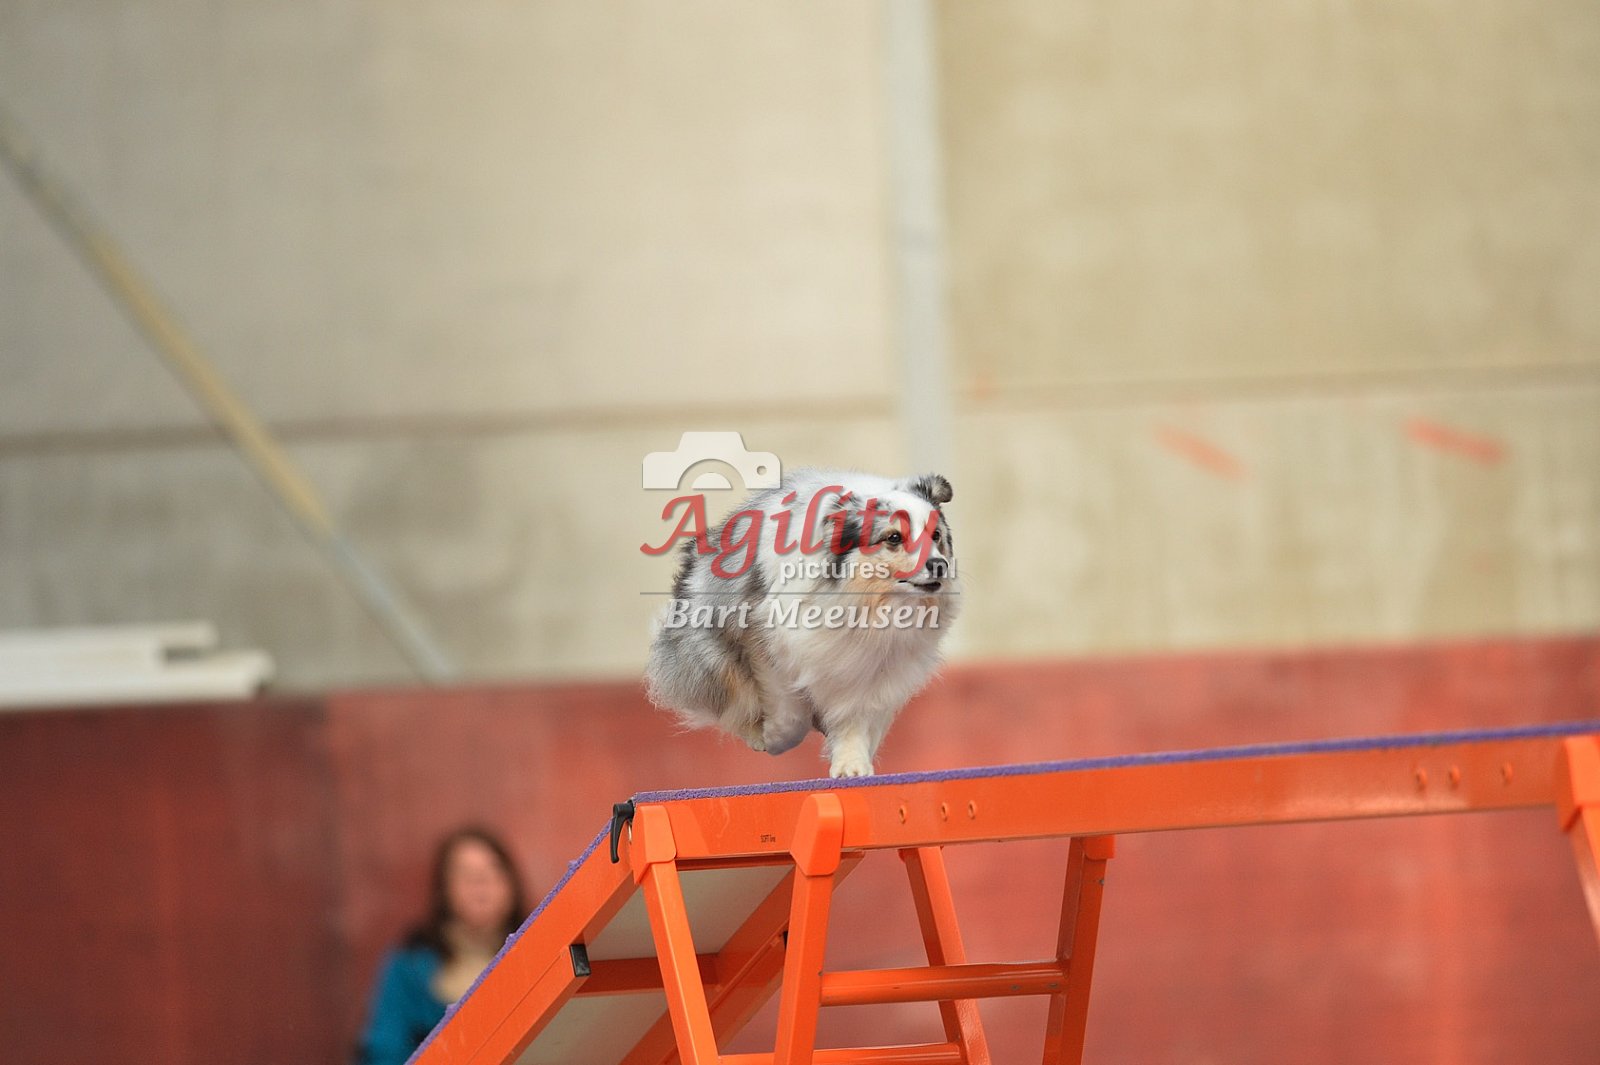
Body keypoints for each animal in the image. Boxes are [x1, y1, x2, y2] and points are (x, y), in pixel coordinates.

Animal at [645, 468, 960, 778]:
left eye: (936, 535)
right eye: (894, 537)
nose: (939, 565)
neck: (866, 604)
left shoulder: (868, 666)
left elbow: (854, 715)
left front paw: (852, 764)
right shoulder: (769, 643)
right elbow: (788, 711)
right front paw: (776, 739)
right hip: (713, 658)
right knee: (732, 702)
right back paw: (758, 736)